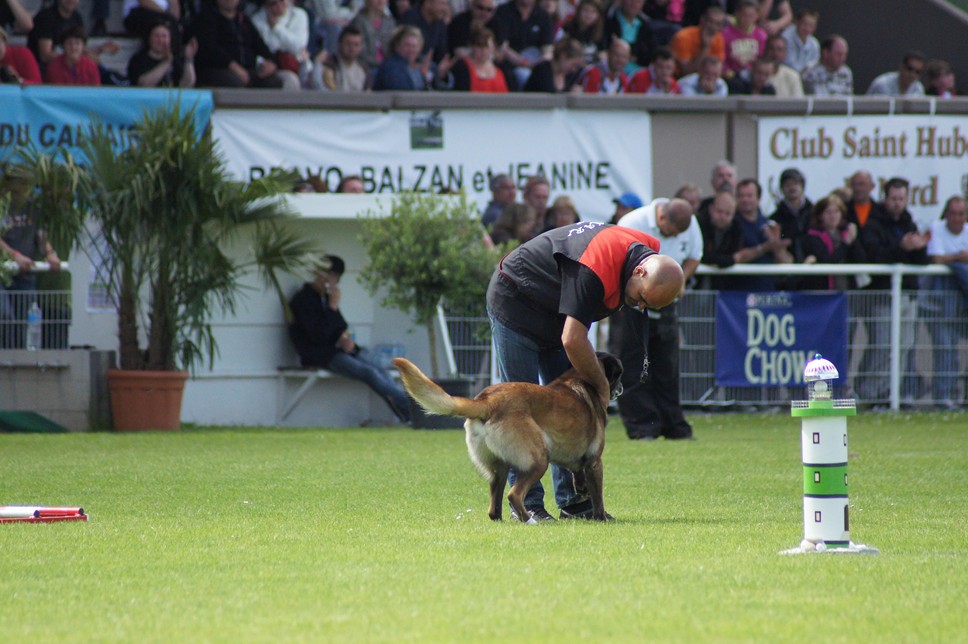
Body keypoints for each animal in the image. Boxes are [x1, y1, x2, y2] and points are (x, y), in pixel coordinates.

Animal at [392, 352, 624, 524]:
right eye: (618, 375)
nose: (621, 389)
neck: (577, 378)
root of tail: (488, 401)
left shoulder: (578, 461)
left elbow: (578, 478)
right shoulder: (595, 463)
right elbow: (597, 496)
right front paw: (601, 518)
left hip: (499, 469)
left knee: (494, 507)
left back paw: (503, 519)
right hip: (538, 461)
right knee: (514, 494)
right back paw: (529, 519)